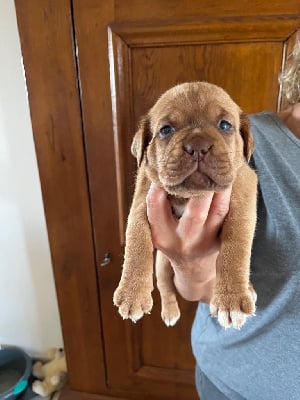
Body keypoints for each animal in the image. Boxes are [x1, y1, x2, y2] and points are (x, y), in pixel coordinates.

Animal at [113, 81, 256, 328]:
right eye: (166, 130)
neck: (189, 196)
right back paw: (170, 312)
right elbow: (135, 240)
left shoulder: (244, 190)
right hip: (162, 265)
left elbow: (236, 244)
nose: (198, 146)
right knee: (166, 287)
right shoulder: (142, 199)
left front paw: (231, 299)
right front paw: (132, 292)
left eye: (225, 125)